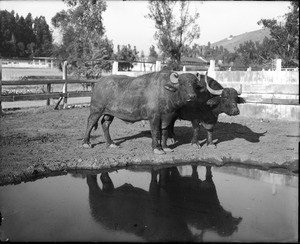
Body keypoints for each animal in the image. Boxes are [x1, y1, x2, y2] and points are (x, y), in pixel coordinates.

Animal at [85, 166, 243, 242]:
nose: (237, 221)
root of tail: (94, 216)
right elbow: (155, 184)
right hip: (94, 194)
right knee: (91, 182)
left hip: (108, 188)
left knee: (105, 179)